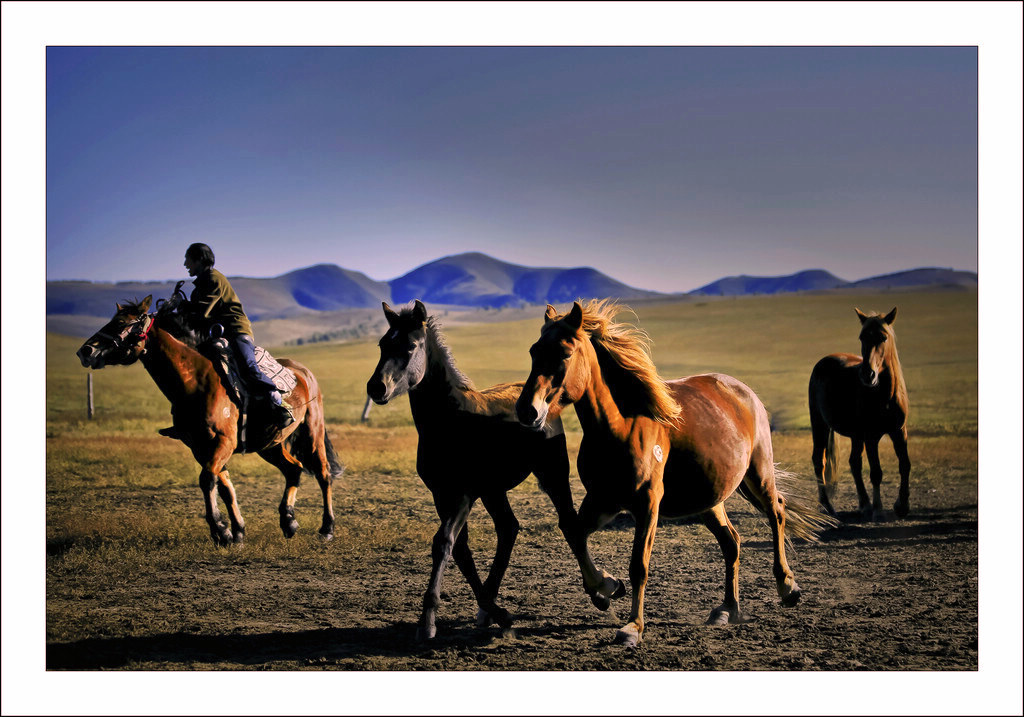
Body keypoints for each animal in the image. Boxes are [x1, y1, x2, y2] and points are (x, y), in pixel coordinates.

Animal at [75, 294, 346, 544]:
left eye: (121, 323)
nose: (85, 351)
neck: (196, 381)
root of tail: (304, 372)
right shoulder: (201, 447)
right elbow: (224, 486)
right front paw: (237, 531)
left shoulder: (223, 442)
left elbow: (207, 480)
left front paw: (221, 531)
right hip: (271, 443)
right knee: (293, 468)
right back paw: (288, 521)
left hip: (312, 432)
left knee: (323, 473)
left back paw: (327, 529)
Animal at [368, 299, 622, 643]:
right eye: (383, 344)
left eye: (410, 346)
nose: (376, 387)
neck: (450, 422)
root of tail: (544, 401)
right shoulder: (442, 494)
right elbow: (460, 550)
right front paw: (498, 613)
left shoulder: (462, 495)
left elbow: (443, 542)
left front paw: (428, 622)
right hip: (494, 490)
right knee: (508, 529)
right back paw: (490, 610)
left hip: (551, 475)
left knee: (568, 524)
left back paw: (601, 593)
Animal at [512, 299, 831, 647]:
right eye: (533, 351)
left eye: (565, 353)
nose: (527, 410)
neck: (621, 425)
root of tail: (743, 391)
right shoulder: (603, 499)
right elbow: (573, 532)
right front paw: (605, 587)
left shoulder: (647, 502)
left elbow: (639, 564)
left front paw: (632, 627)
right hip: (709, 499)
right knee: (731, 542)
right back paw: (727, 610)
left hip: (758, 473)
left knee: (777, 513)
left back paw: (787, 587)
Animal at [806, 305, 913, 518]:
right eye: (862, 337)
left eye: (883, 337)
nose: (867, 374)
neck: (886, 395)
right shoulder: (871, 437)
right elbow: (876, 472)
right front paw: (878, 510)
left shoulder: (899, 431)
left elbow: (904, 464)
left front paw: (902, 505)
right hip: (819, 424)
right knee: (819, 460)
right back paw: (827, 506)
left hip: (856, 435)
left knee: (854, 462)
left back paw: (864, 503)